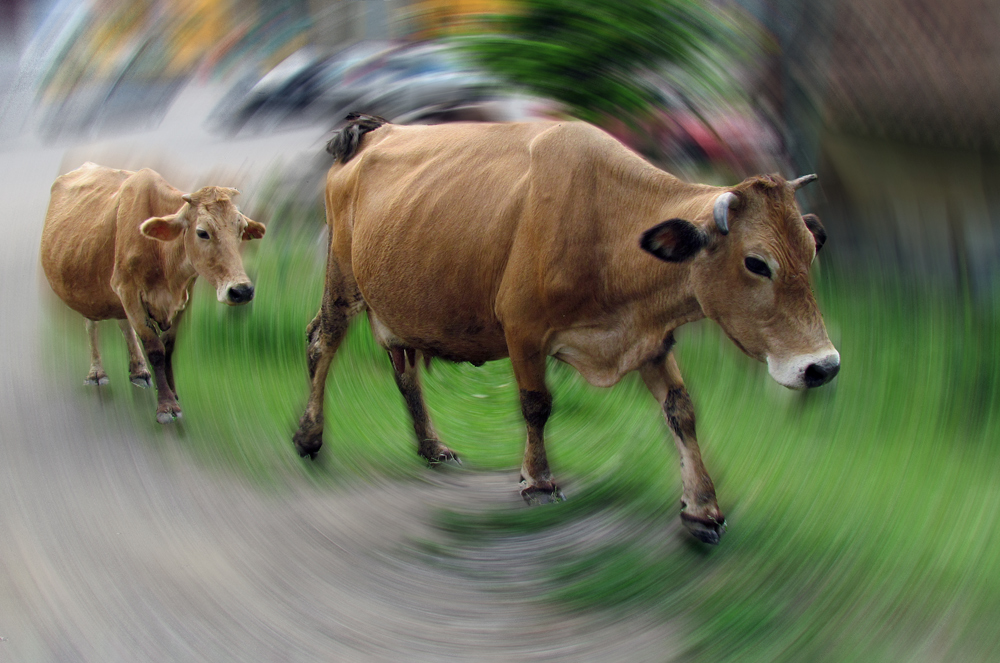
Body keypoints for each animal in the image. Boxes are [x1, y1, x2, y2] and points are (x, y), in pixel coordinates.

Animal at [42, 162, 266, 420]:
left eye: (241, 229)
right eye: (202, 232)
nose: (242, 290)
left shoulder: (185, 295)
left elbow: (168, 346)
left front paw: (172, 391)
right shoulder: (127, 290)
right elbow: (155, 348)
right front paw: (167, 405)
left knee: (122, 323)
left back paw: (138, 371)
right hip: (85, 288)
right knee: (92, 324)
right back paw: (97, 372)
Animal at [292, 114, 840, 544]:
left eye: (811, 250)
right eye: (757, 263)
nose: (823, 366)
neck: (607, 227)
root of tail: (375, 132)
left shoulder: (650, 338)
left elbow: (681, 411)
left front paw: (703, 508)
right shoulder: (522, 327)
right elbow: (537, 406)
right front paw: (538, 481)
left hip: (396, 301)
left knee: (403, 368)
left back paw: (432, 446)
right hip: (342, 276)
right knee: (323, 340)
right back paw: (309, 436)